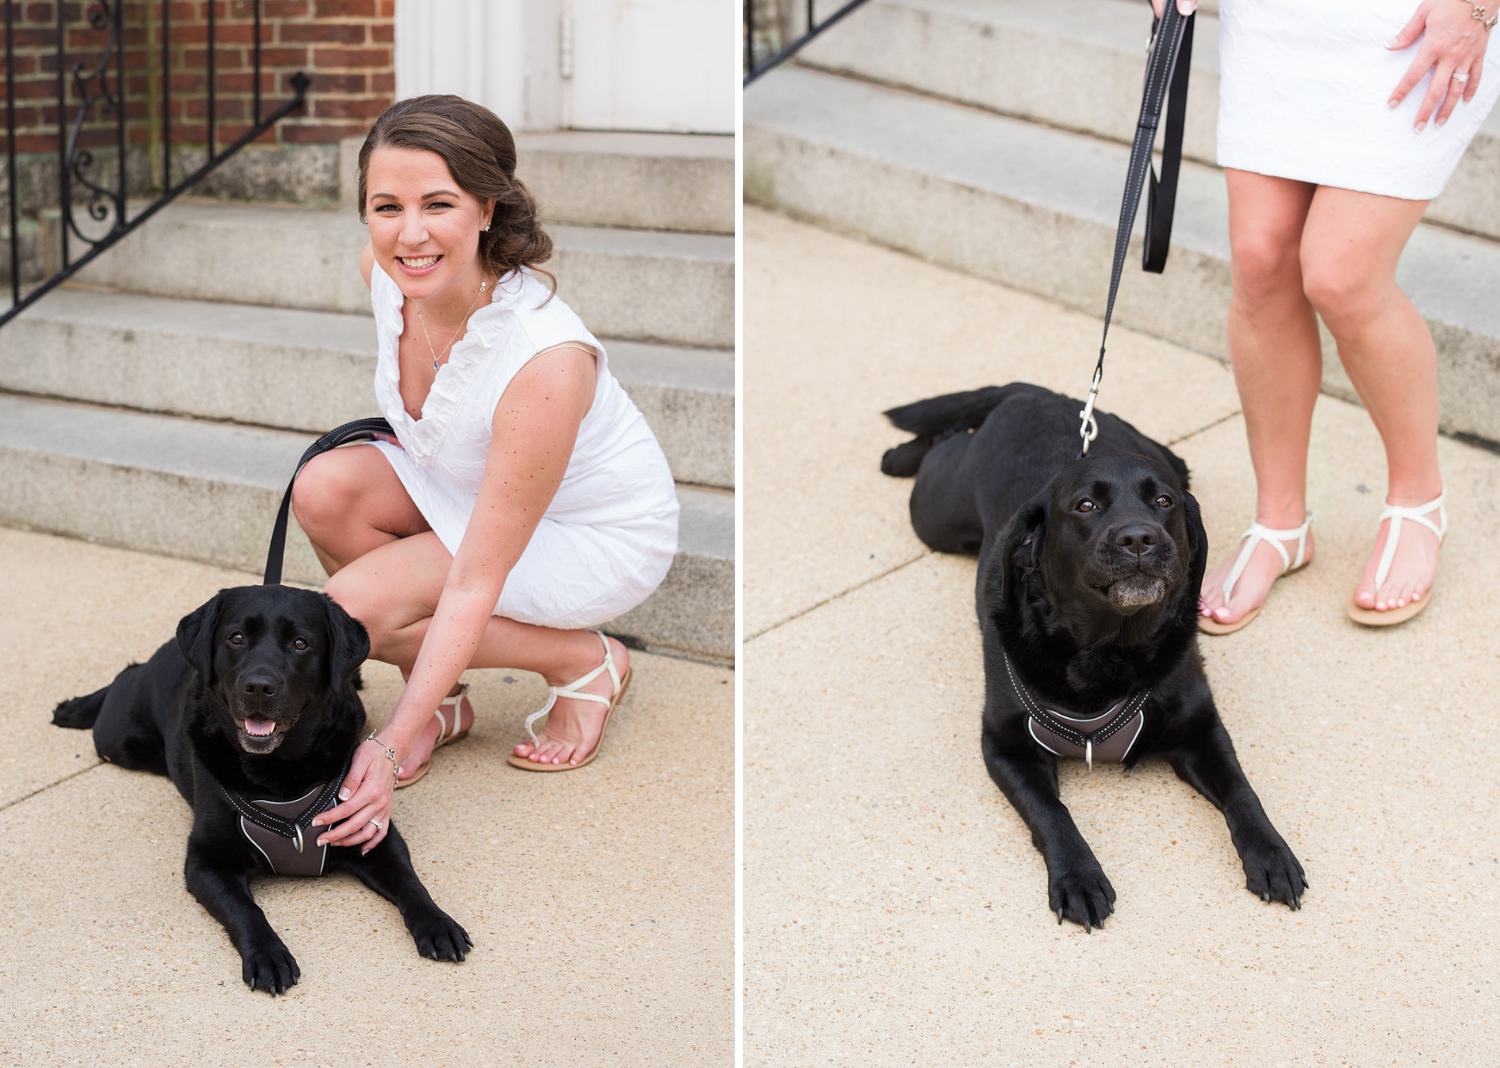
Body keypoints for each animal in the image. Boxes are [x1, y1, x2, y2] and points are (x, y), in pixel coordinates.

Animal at [54, 585, 468, 990]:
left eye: (300, 643)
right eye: (236, 638)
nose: (258, 686)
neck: (280, 773)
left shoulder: (372, 831)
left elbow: (410, 881)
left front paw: (437, 923)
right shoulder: (207, 863)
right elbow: (246, 909)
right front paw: (268, 955)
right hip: (117, 740)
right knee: (127, 673)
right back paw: (75, 707)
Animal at [882, 384, 1308, 924]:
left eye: (1163, 501)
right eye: (1085, 505)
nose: (1140, 538)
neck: (1108, 648)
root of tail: (1033, 391)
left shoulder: (1203, 729)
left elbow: (1241, 790)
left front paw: (1271, 853)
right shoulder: (1005, 746)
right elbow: (1052, 812)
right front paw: (1078, 877)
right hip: (934, 512)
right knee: (948, 438)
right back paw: (899, 455)